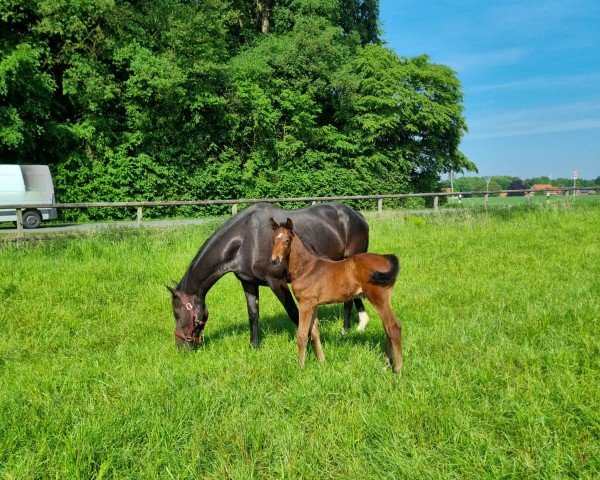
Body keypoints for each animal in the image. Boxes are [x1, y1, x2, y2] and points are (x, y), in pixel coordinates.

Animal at [166, 202, 368, 348]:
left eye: (176, 313)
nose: (181, 347)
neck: (246, 240)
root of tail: (357, 215)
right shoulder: (248, 283)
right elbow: (253, 314)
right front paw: (254, 346)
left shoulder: (277, 282)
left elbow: (294, 313)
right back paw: (348, 328)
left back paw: (346, 330)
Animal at [270, 219, 404, 374]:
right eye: (274, 240)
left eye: (287, 240)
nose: (274, 260)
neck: (306, 268)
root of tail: (386, 258)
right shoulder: (313, 304)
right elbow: (315, 332)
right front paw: (322, 362)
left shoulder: (305, 304)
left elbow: (302, 335)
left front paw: (300, 367)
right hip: (382, 300)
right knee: (387, 327)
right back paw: (386, 364)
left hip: (378, 298)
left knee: (393, 327)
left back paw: (397, 369)